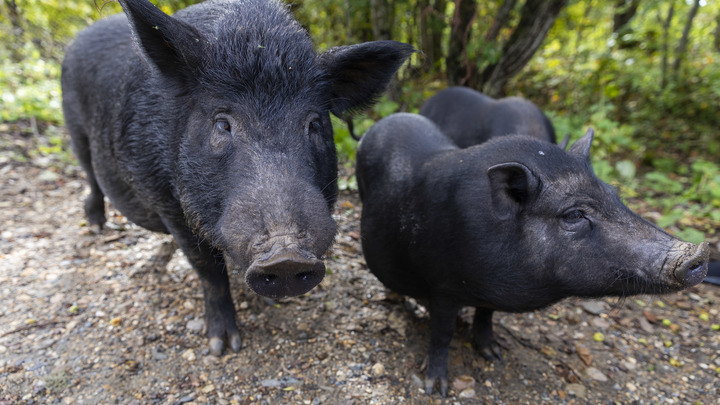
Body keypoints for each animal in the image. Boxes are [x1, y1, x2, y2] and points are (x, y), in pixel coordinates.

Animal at [64, 0, 414, 354]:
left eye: (314, 123)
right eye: (222, 123)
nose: (286, 255)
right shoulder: (169, 204)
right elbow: (208, 270)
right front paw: (223, 346)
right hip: (75, 131)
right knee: (90, 175)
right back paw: (97, 225)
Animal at [358, 113, 704, 394]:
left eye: (614, 195)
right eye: (574, 215)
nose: (698, 253)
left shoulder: (488, 294)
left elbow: (486, 316)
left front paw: (494, 353)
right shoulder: (443, 287)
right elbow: (442, 335)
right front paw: (436, 389)